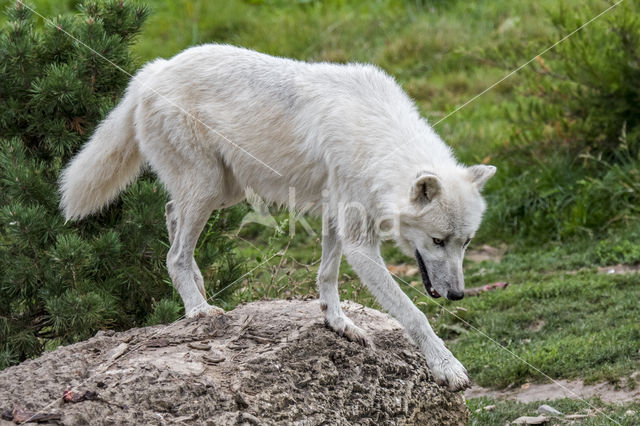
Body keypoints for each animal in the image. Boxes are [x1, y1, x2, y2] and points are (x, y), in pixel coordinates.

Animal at [58, 44, 496, 392]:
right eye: (438, 241)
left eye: (466, 243)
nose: (458, 295)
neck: (378, 139)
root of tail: (153, 69)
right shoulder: (360, 242)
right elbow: (415, 314)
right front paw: (447, 367)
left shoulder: (337, 217)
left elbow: (327, 275)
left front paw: (337, 323)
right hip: (206, 188)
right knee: (173, 253)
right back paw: (198, 309)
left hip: (222, 191)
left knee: (170, 216)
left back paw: (198, 289)